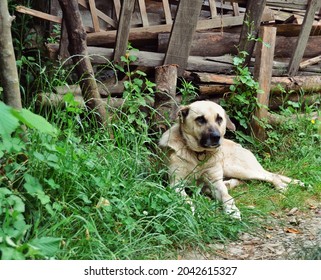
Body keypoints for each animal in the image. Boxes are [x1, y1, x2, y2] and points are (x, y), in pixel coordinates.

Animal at [159, 100, 304, 219]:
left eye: (219, 119)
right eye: (200, 119)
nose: (216, 137)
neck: (199, 155)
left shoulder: (215, 182)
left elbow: (227, 196)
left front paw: (232, 210)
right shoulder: (176, 184)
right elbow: (187, 200)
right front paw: (192, 210)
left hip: (238, 168)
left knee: (271, 175)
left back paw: (280, 186)